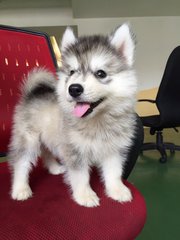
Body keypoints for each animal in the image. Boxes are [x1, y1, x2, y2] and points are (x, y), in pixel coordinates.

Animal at [8, 24, 136, 208]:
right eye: (72, 72)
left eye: (101, 73)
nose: (74, 88)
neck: (97, 121)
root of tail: (32, 93)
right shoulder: (74, 150)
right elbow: (80, 176)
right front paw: (85, 195)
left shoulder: (113, 148)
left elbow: (114, 172)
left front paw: (116, 190)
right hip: (28, 138)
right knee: (21, 162)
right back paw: (20, 188)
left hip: (49, 136)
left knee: (46, 151)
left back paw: (54, 168)